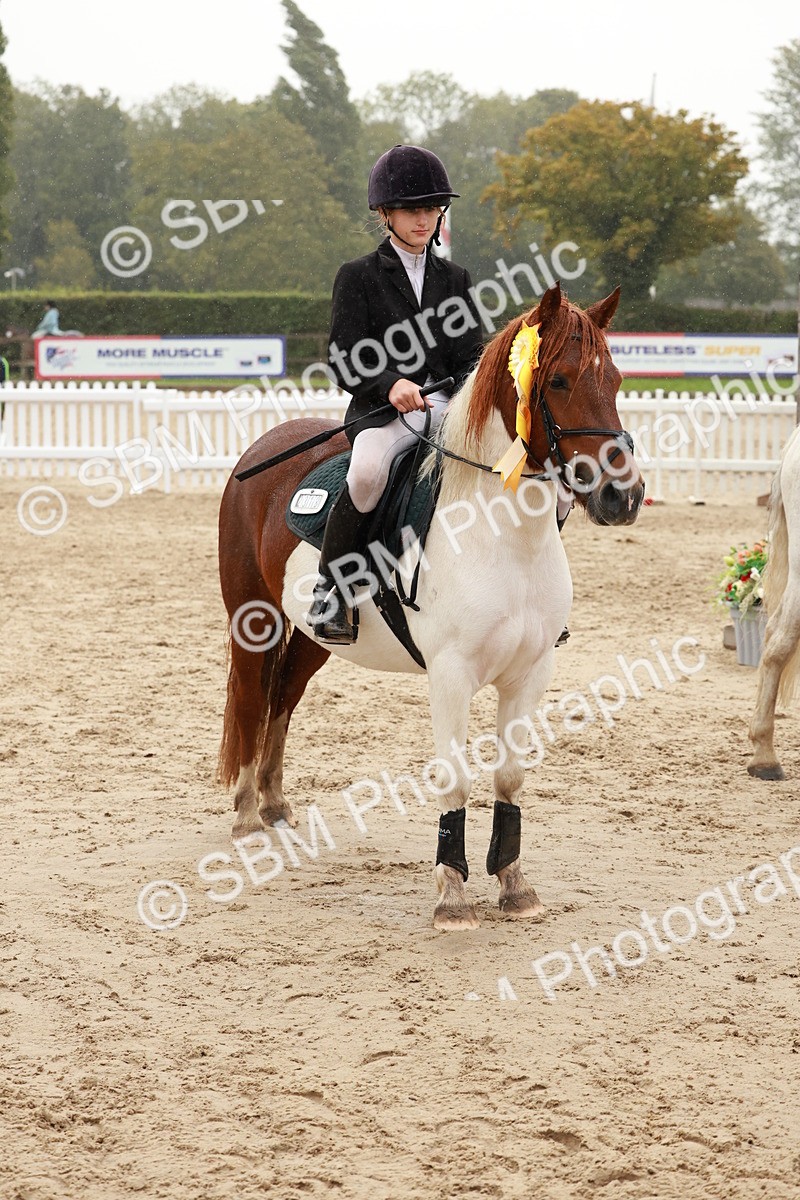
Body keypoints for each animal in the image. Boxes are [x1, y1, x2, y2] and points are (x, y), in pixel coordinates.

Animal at [217, 283, 645, 929]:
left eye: (616, 380)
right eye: (560, 380)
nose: (624, 496)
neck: (503, 536)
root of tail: (261, 448)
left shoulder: (531, 672)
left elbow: (509, 776)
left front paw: (514, 885)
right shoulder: (451, 674)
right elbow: (455, 779)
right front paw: (452, 897)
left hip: (314, 639)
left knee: (282, 699)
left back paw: (274, 805)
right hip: (254, 620)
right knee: (249, 699)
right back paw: (245, 814)